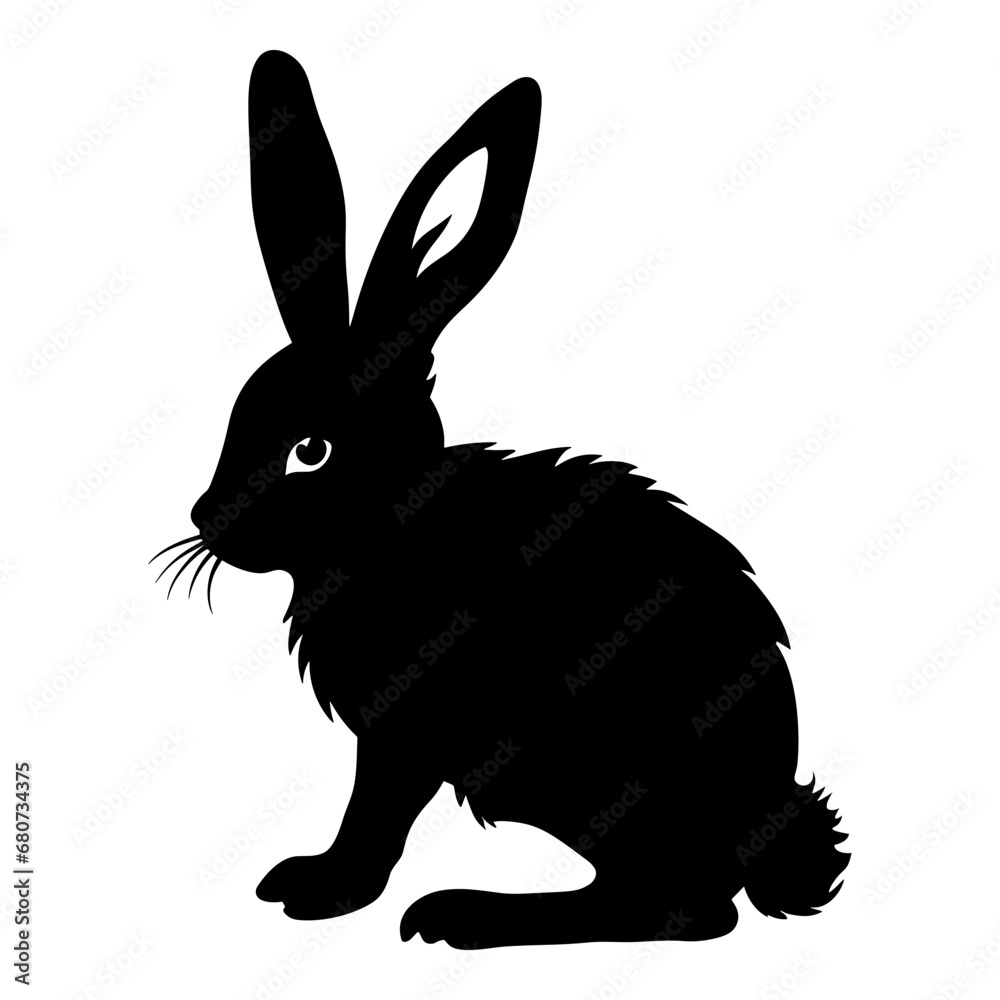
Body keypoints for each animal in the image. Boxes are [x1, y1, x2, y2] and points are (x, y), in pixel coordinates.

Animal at [152, 50, 848, 948]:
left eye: (311, 450)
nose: (207, 519)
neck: (390, 532)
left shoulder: (405, 734)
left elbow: (376, 813)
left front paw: (321, 889)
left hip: (594, 779)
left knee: (683, 907)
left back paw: (468, 914)